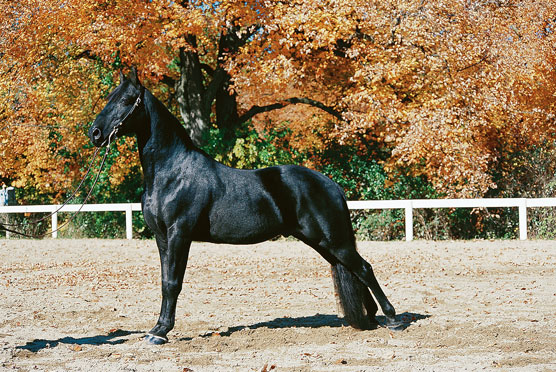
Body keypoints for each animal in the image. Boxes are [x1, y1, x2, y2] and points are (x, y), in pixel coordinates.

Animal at [88, 69, 396, 342]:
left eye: (127, 100)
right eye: (109, 97)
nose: (95, 133)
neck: (172, 173)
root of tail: (331, 184)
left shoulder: (179, 234)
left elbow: (173, 283)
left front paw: (161, 332)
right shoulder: (162, 238)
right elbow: (165, 281)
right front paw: (158, 328)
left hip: (333, 241)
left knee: (365, 268)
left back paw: (392, 318)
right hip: (323, 243)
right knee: (354, 270)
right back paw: (370, 319)